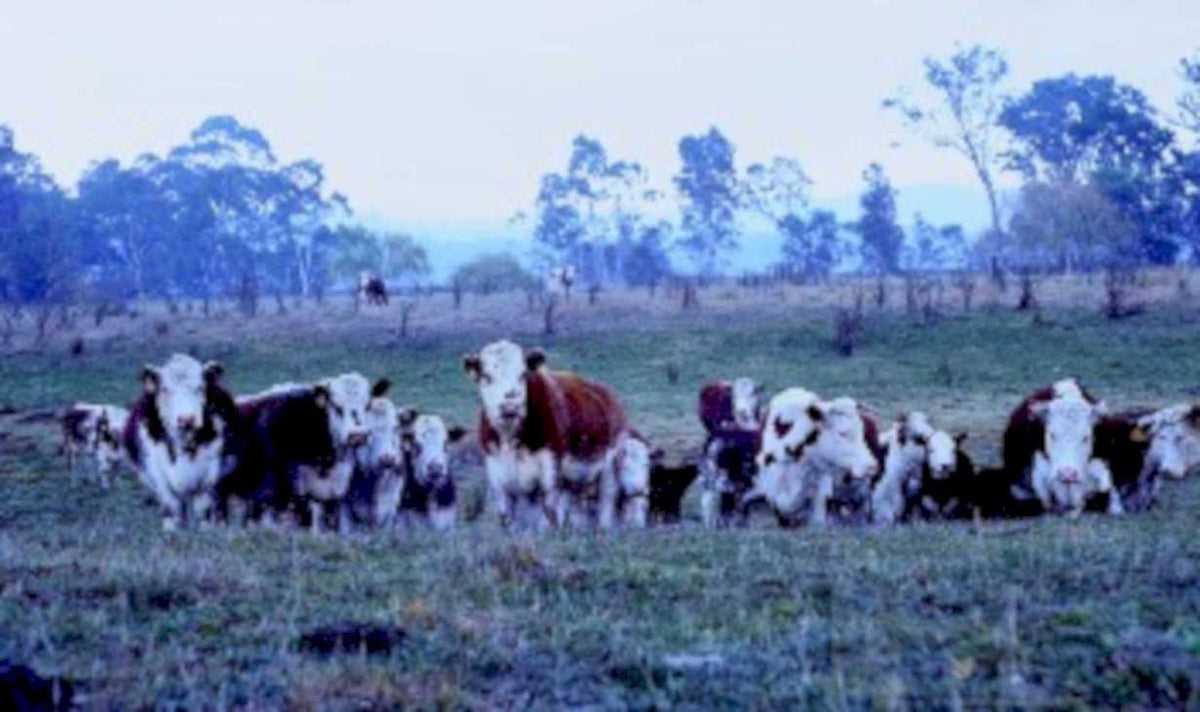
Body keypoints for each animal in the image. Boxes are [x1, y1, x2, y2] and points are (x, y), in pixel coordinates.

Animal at [123, 354, 233, 530]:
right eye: (165, 389)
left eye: (200, 387)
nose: (186, 419)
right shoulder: (159, 476)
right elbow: (171, 507)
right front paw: (171, 530)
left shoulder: (209, 477)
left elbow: (203, 509)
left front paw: (205, 530)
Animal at [462, 340, 631, 530]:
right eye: (486, 376)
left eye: (522, 374)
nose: (510, 407)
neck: (511, 439)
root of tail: (607, 394)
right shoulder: (498, 478)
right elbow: (508, 519)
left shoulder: (550, 474)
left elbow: (548, 515)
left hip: (610, 468)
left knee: (606, 503)